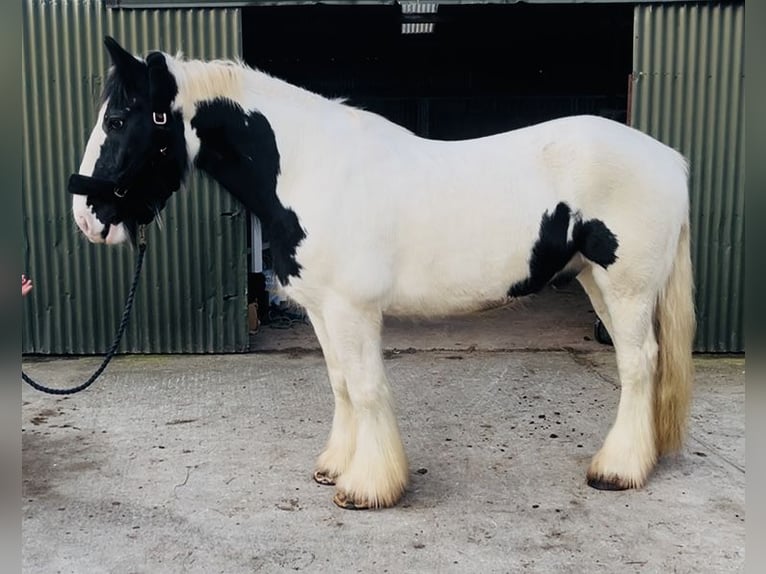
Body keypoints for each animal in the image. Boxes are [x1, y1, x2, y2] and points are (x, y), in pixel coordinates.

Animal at [70, 36, 695, 510]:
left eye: (119, 119)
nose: (86, 217)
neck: (310, 168)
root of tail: (670, 158)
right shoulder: (322, 310)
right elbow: (342, 384)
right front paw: (334, 466)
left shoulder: (353, 309)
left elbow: (368, 388)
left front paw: (368, 487)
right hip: (594, 280)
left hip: (626, 285)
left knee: (639, 363)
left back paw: (617, 470)